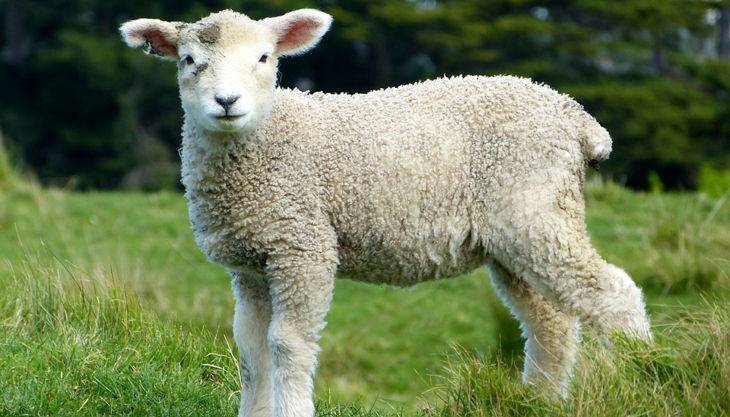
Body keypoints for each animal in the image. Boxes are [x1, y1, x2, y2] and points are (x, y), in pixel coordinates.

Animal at [120, 8, 652, 417]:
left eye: (264, 58)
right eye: (190, 60)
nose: (226, 101)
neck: (269, 139)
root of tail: (576, 118)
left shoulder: (302, 247)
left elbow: (288, 343)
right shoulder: (252, 263)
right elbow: (251, 350)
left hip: (536, 210)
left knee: (613, 294)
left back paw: (642, 376)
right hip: (516, 233)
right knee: (550, 323)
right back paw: (539, 401)